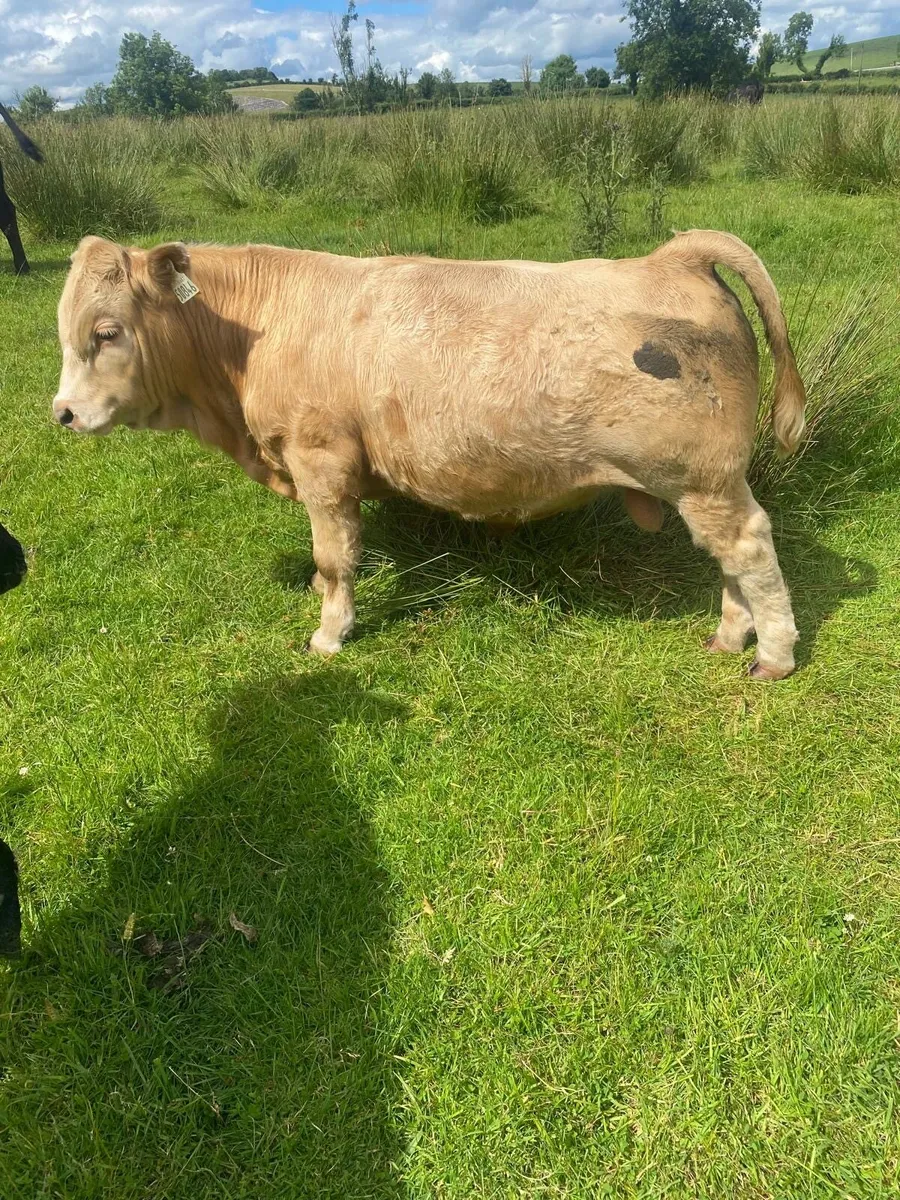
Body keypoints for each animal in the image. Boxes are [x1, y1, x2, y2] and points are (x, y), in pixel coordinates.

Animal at [53, 230, 807, 679]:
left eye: (107, 331)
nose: (62, 413)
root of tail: (672, 256)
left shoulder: (322, 459)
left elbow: (337, 555)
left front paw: (331, 631)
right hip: (703, 486)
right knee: (729, 560)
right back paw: (731, 635)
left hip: (703, 479)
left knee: (749, 549)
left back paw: (772, 653)